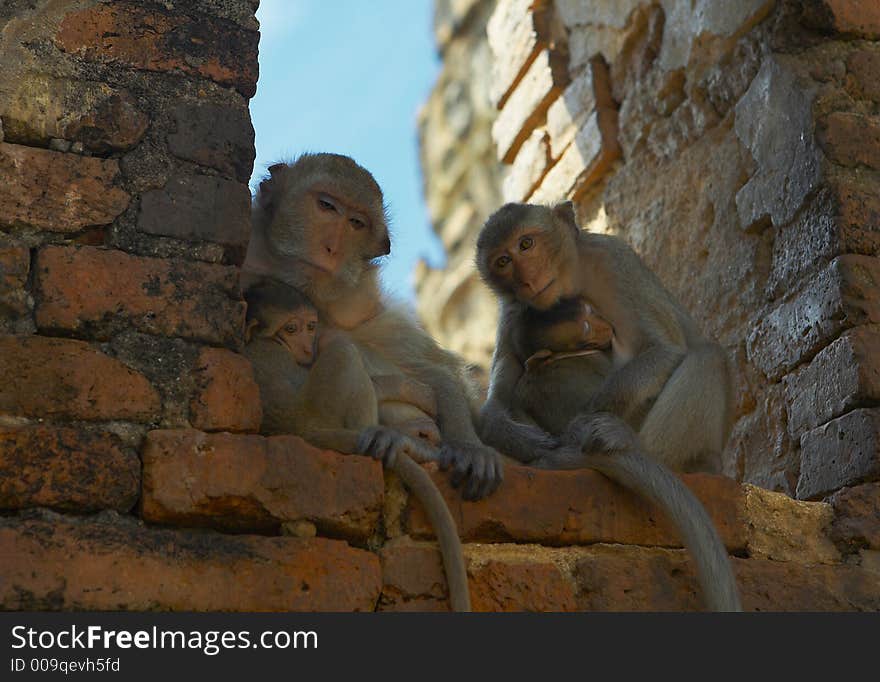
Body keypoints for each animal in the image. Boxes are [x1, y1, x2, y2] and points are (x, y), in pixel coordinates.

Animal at [241, 278, 474, 608]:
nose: (307, 345)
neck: (268, 341)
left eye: (309, 326)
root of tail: (301, 429)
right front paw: (413, 391)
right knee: (342, 350)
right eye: (290, 328)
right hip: (324, 404)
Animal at [242, 154, 502, 500]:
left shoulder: (362, 305)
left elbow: (429, 365)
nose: (331, 248)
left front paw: (468, 446)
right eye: (327, 206)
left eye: (356, 223)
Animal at [478, 199, 740, 608]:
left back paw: (628, 446)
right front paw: (508, 432)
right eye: (502, 261)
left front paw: (582, 426)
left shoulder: (616, 263)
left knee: (708, 358)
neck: (575, 279)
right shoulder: (515, 308)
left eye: (526, 244)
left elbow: (664, 349)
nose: (527, 279)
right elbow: (504, 383)